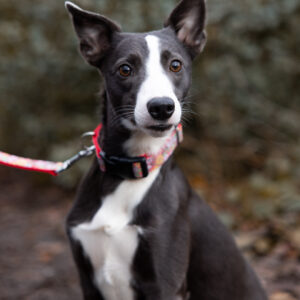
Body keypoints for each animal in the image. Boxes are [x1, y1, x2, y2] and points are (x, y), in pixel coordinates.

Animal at [65, 1, 268, 298]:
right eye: (125, 69)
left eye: (175, 65)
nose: (161, 107)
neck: (129, 172)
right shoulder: (87, 280)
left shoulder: (165, 283)